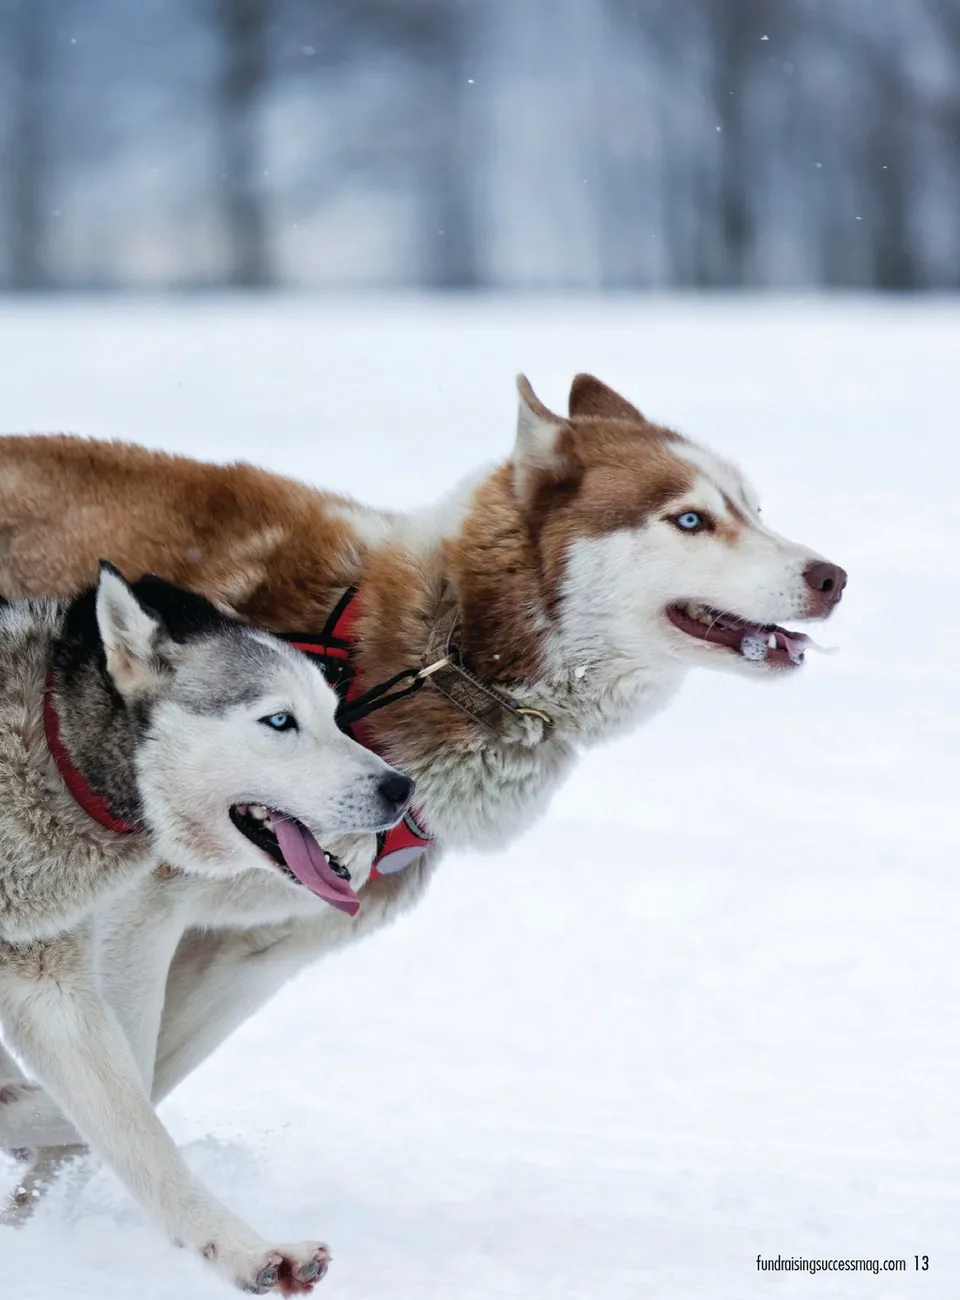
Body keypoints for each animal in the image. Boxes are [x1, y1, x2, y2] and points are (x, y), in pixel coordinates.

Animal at [0, 373, 847, 1195]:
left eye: (754, 508)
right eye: (690, 519)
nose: (832, 576)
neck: (448, 653)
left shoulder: (259, 951)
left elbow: (136, 1089)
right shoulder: (138, 917)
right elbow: (123, 1079)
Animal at [0, 564, 412, 1291]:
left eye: (333, 715)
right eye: (279, 720)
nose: (401, 789)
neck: (52, 751)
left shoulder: (47, 983)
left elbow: (141, 1135)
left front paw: (248, 1252)